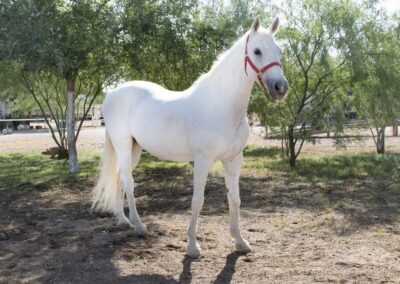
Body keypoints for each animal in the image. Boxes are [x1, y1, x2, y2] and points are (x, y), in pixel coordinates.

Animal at [92, 16, 290, 258]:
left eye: (279, 50)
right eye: (257, 51)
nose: (281, 87)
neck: (220, 105)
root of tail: (112, 94)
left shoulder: (234, 160)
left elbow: (234, 199)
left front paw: (240, 241)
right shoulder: (203, 160)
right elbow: (198, 200)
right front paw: (193, 246)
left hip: (134, 148)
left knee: (120, 177)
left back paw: (122, 220)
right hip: (122, 145)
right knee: (128, 181)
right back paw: (139, 226)